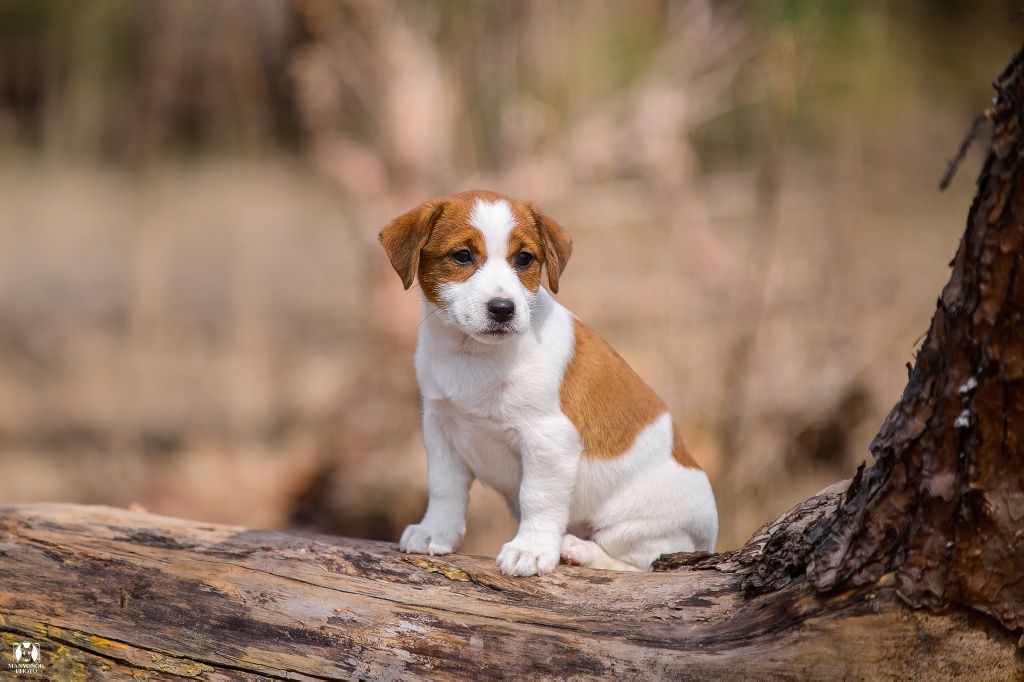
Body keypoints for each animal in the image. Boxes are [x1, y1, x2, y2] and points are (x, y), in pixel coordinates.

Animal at [378, 187, 720, 573]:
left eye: (524, 259)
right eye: (462, 256)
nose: (503, 308)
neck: (474, 355)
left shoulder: (548, 439)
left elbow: (537, 497)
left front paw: (530, 548)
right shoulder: (440, 428)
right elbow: (444, 488)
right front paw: (435, 532)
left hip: (637, 521)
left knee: (644, 562)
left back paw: (581, 551)